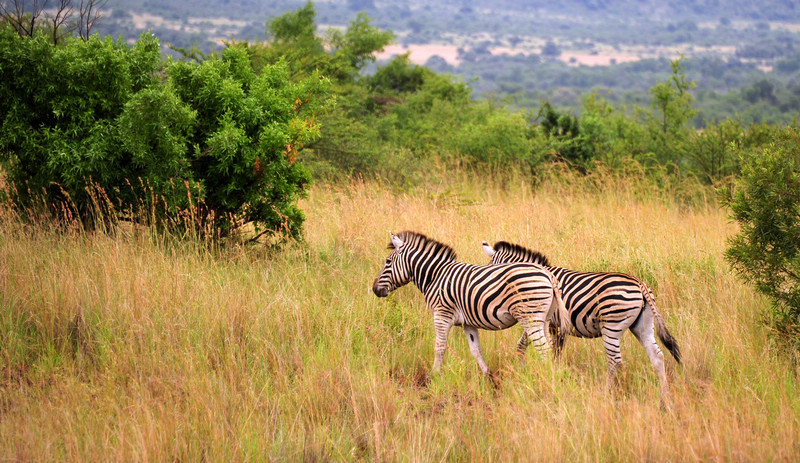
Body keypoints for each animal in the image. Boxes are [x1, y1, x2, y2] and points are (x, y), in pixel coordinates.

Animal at [372, 232, 572, 376]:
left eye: (387, 262)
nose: (374, 289)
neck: (435, 276)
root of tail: (548, 275)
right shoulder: (467, 323)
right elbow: (475, 350)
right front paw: (487, 375)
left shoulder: (441, 315)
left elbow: (439, 347)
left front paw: (434, 375)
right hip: (544, 318)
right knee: (550, 348)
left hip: (530, 317)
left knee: (544, 349)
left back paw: (546, 378)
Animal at [482, 241, 680, 396]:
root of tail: (639, 283)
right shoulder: (553, 325)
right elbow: (544, 349)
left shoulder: (546, 321)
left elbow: (532, 347)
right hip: (643, 325)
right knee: (657, 357)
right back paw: (664, 398)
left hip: (612, 326)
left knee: (615, 361)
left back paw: (606, 392)